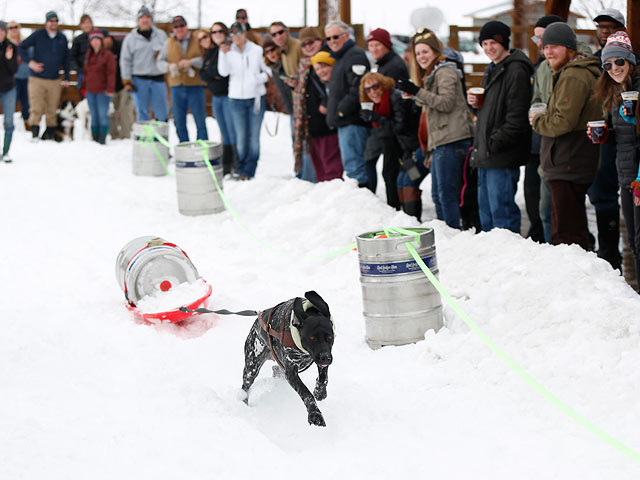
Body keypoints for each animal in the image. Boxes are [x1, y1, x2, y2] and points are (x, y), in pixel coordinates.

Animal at [241, 290, 336, 426]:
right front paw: (315, 414)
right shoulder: (291, 372)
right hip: (251, 367)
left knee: (276, 369)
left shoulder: (321, 358)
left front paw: (320, 391)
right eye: (312, 338)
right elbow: (306, 393)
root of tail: (257, 322)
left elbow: (323, 378)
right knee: (246, 385)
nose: (326, 358)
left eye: (330, 337)